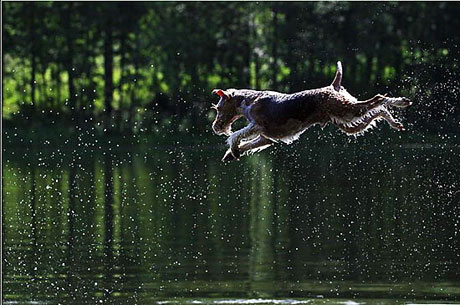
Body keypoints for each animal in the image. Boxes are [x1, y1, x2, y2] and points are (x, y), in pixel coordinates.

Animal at [211, 61, 410, 162]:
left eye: (218, 108)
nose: (215, 127)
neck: (248, 100)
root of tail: (333, 86)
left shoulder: (257, 125)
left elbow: (236, 134)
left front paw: (233, 148)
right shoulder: (266, 137)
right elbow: (248, 144)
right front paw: (232, 154)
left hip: (348, 111)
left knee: (379, 99)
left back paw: (401, 102)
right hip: (348, 121)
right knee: (377, 111)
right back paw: (395, 122)